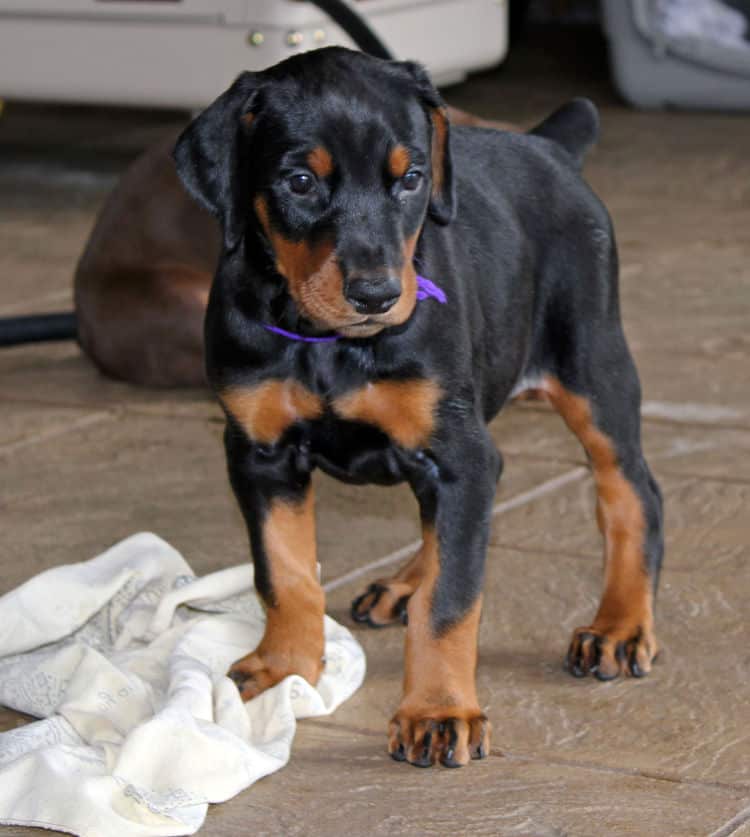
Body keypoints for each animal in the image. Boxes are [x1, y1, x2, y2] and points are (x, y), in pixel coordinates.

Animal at [175, 44, 664, 764]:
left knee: (632, 491)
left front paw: (438, 711)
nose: (378, 294)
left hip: (594, 366)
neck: (328, 343)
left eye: (411, 180)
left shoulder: (458, 453)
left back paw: (620, 626)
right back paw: (404, 582)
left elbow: (452, 601)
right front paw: (285, 669)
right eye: (299, 181)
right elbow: (283, 572)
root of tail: (550, 147)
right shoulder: (260, 453)